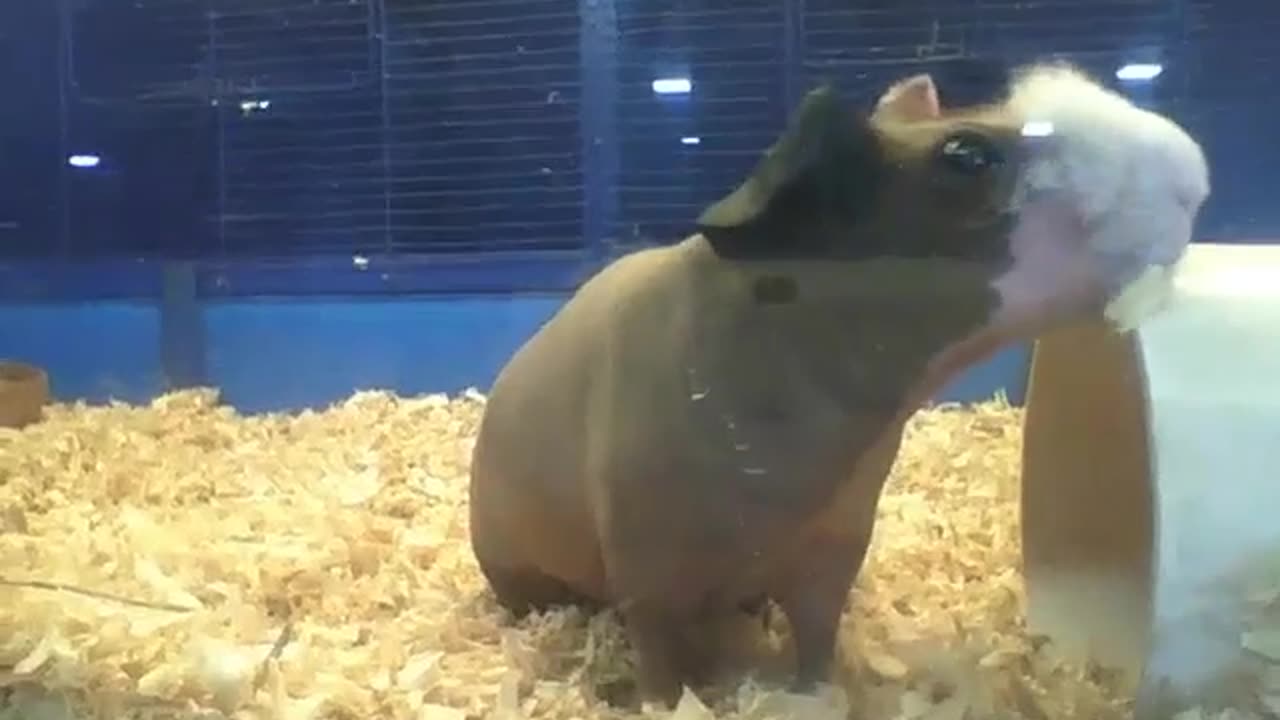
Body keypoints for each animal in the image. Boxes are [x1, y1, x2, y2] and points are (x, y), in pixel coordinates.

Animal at [467, 62, 1210, 707]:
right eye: (966, 155)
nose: (1194, 175)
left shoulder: (833, 548)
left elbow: (816, 639)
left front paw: (813, 693)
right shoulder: (649, 577)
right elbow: (661, 664)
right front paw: (669, 703)